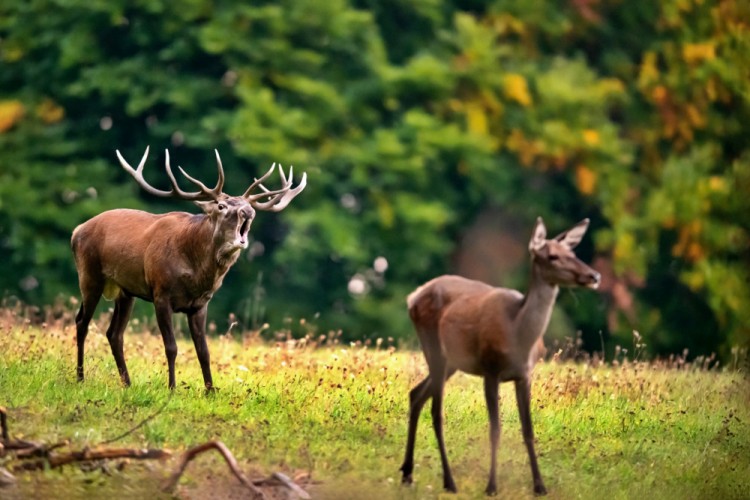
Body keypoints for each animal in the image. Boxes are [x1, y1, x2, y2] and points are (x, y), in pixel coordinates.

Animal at [70, 147, 306, 390]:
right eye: (221, 206)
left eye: (248, 206)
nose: (248, 212)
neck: (196, 274)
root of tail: (76, 231)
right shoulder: (161, 294)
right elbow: (171, 347)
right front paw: (172, 389)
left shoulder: (200, 304)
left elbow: (204, 351)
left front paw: (211, 391)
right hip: (89, 275)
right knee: (81, 323)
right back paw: (80, 378)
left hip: (125, 291)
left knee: (114, 333)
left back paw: (127, 383)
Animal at [402, 217, 604, 494]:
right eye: (552, 256)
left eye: (572, 253)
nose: (594, 275)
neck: (518, 334)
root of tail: (413, 296)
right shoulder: (490, 369)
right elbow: (495, 430)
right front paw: (491, 486)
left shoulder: (525, 375)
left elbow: (528, 430)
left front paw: (540, 486)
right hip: (433, 346)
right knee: (436, 411)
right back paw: (449, 481)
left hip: (452, 361)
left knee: (416, 394)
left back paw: (407, 473)